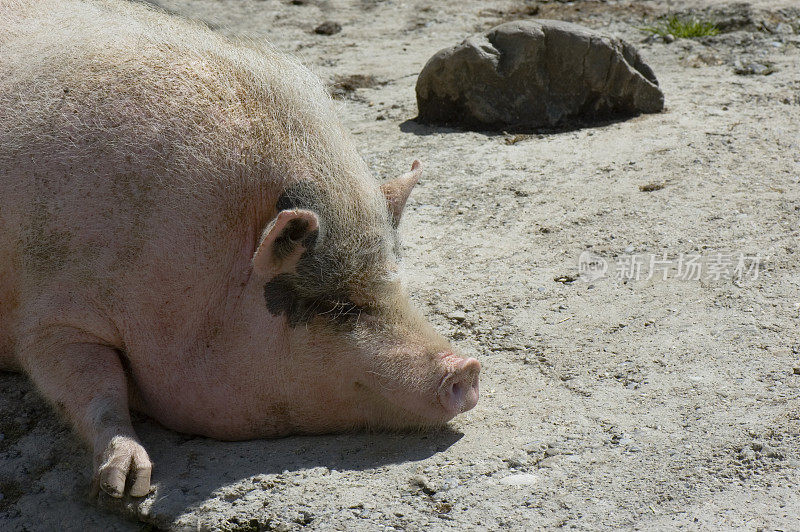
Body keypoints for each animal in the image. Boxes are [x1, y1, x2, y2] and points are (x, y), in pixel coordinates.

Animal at [0, 0, 482, 498]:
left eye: (397, 284)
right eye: (337, 306)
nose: (467, 367)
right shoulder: (51, 310)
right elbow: (94, 387)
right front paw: (128, 486)